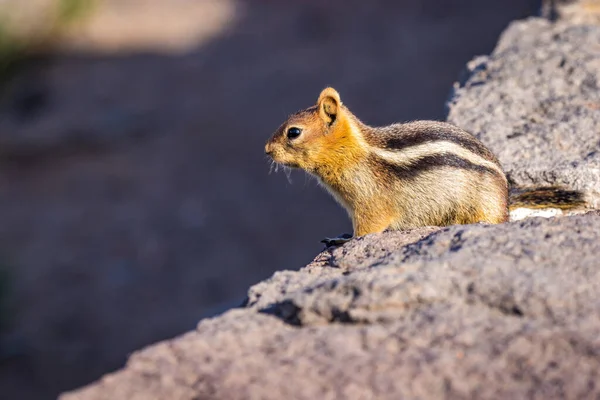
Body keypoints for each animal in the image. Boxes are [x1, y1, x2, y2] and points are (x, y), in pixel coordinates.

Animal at [266, 86, 584, 247]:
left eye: (293, 132)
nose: (267, 150)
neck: (355, 151)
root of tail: (506, 200)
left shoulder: (370, 204)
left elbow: (367, 231)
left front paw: (342, 241)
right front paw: (340, 235)